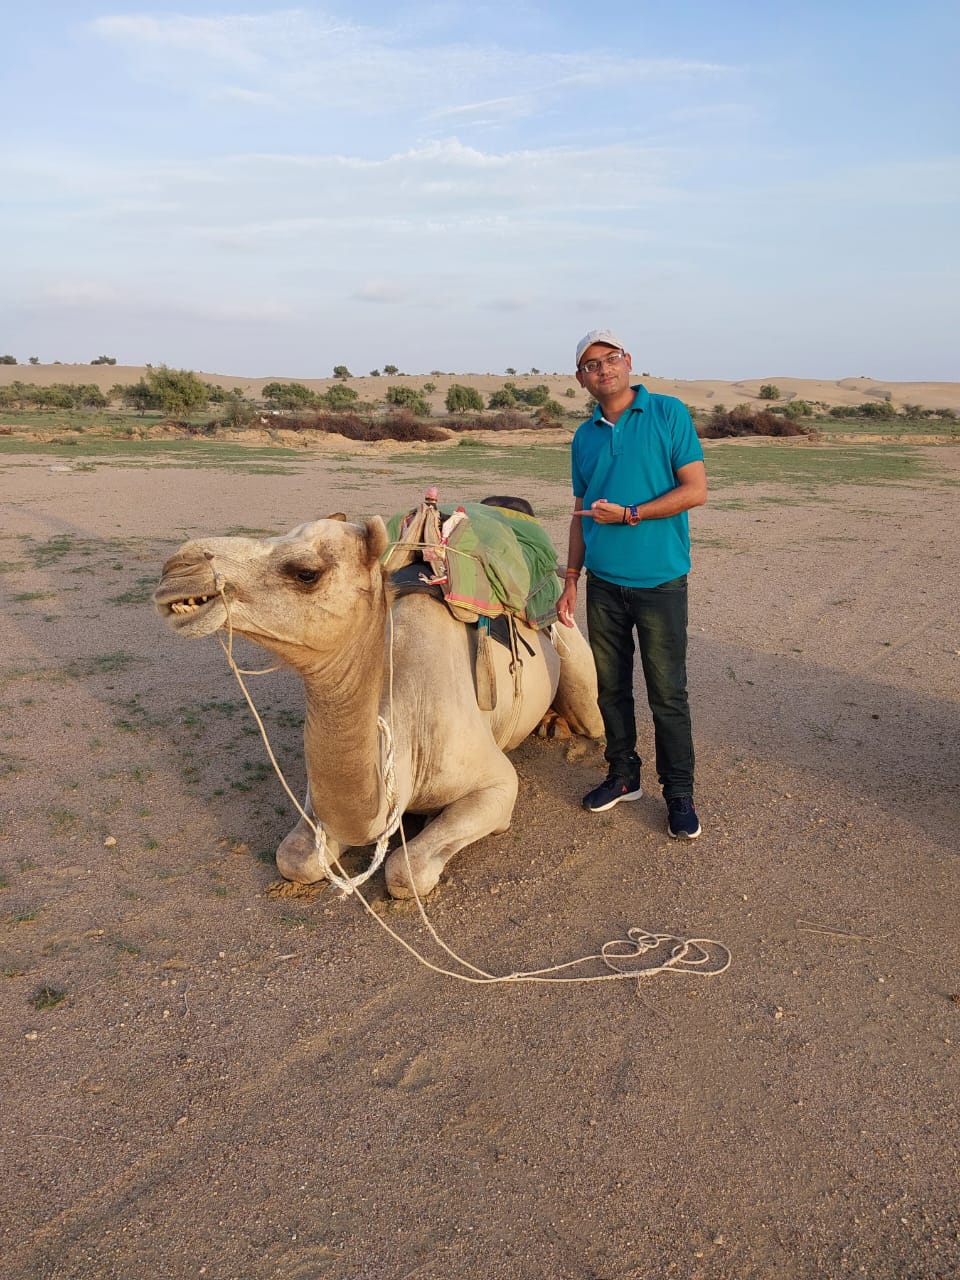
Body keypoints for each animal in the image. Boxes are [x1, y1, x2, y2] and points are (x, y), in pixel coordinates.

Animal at [154, 512, 602, 898]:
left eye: (306, 573)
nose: (176, 569)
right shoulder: (320, 796)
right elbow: (295, 859)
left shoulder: (497, 783)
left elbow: (406, 872)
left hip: (572, 645)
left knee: (593, 720)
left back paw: (560, 729)